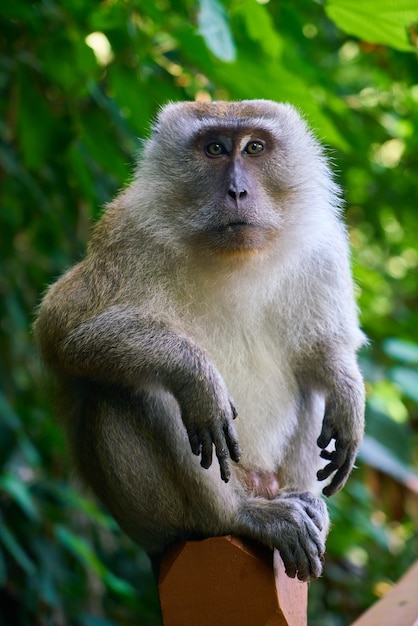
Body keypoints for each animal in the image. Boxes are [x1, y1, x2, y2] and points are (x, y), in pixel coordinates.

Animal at [34, 98, 364, 580]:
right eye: (214, 149)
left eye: (255, 148)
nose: (237, 192)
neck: (235, 258)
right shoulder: (127, 234)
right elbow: (61, 330)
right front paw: (196, 376)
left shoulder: (323, 246)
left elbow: (323, 348)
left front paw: (348, 393)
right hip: (158, 522)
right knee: (124, 389)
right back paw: (239, 516)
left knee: (307, 381)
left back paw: (304, 502)